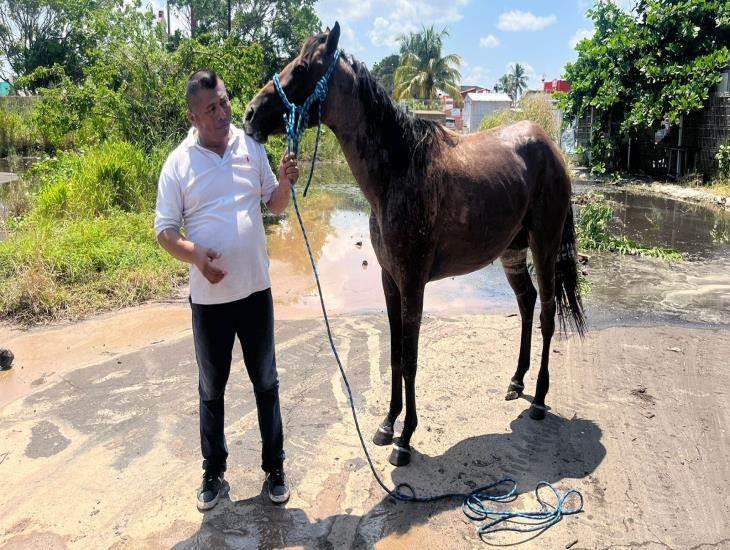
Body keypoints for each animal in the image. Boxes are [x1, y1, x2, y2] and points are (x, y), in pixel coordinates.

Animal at [245, 23, 584, 468]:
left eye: (301, 68)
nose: (250, 114)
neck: (398, 171)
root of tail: (551, 147)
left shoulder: (413, 282)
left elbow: (410, 358)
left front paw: (406, 439)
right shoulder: (390, 280)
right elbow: (393, 355)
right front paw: (387, 424)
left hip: (544, 246)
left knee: (546, 314)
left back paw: (540, 399)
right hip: (513, 250)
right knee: (526, 304)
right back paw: (516, 381)